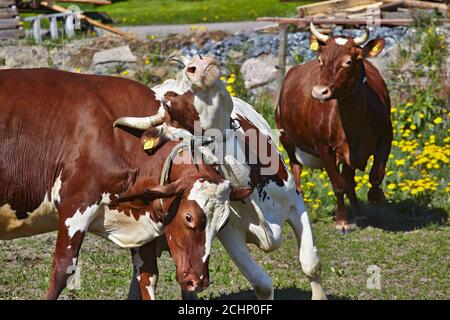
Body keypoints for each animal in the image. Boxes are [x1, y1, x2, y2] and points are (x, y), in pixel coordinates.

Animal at [0, 68, 250, 300]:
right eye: (189, 217)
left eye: (223, 222)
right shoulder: (76, 206)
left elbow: (148, 277)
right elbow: (62, 270)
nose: (198, 282)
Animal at [116, 55, 326, 300]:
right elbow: (262, 283)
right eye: (169, 104)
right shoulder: (228, 232)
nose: (195, 65)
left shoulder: (295, 201)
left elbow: (312, 263)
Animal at [276, 23, 392, 232]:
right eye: (320, 60)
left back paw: (359, 215)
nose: (318, 92)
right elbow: (338, 185)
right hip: (287, 138)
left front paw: (375, 198)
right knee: (296, 168)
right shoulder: (325, 148)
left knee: (350, 182)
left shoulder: (386, 137)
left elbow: (374, 175)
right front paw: (342, 221)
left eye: (348, 62)